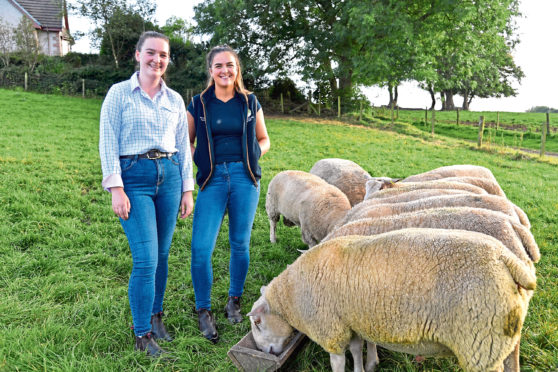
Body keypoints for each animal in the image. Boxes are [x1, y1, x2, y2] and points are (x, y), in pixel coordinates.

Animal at [249, 230, 540, 372]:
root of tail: (506, 259)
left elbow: (338, 363)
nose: (265, 353)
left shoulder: (330, 328)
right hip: (503, 339)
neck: (292, 295)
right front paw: (364, 368)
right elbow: (357, 350)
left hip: (480, 345)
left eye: (258, 323)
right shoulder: (350, 321)